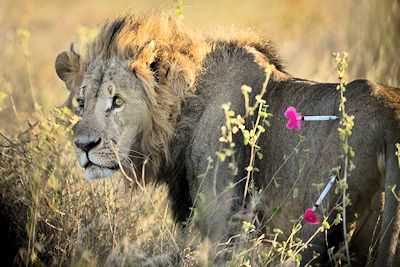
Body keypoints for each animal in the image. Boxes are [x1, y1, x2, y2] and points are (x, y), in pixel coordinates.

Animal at [55, 12, 400, 266]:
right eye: (81, 103)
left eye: (117, 102)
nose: (84, 146)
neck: (183, 110)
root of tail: (390, 125)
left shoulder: (221, 225)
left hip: (316, 225)